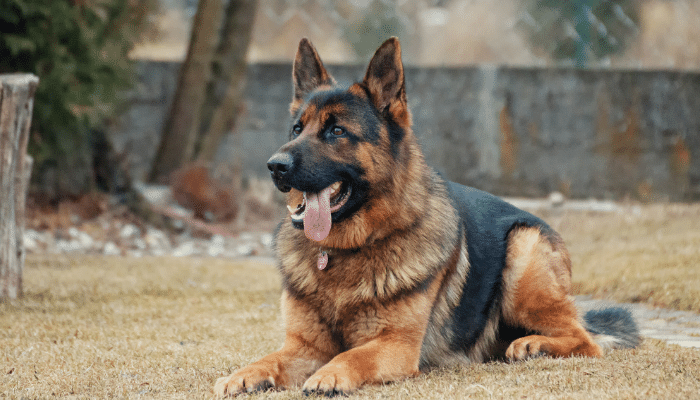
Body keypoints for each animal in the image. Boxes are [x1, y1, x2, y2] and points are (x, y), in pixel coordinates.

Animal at [215, 37, 640, 396]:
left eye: (337, 131)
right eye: (297, 129)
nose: (275, 165)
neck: (346, 251)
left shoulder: (396, 345)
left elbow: (353, 354)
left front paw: (330, 374)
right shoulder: (302, 346)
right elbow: (267, 359)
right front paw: (242, 374)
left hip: (523, 251)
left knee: (585, 339)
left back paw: (533, 344)